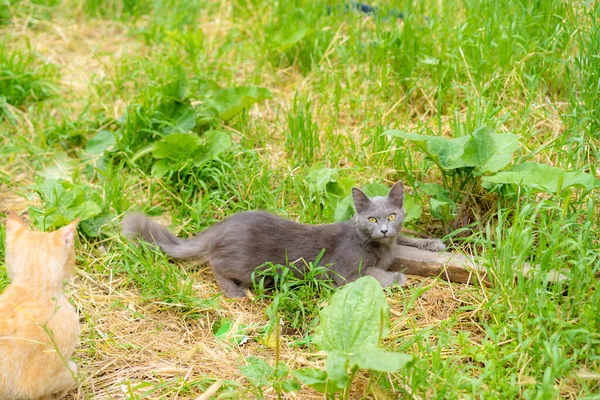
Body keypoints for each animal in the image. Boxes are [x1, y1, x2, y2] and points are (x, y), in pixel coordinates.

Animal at [123, 182, 446, 296]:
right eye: (371, 220)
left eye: (391, 216)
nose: (383, 230)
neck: (380, 246)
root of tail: (223, 225)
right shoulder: (342, 273)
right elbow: (372, 274)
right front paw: (397, 278)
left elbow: (408, 240)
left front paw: (433, 243)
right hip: (248, 266)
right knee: (215, 264)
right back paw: (234, 291)